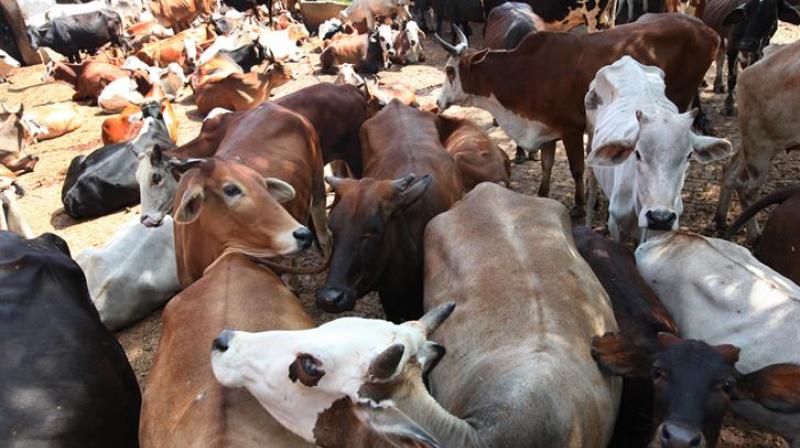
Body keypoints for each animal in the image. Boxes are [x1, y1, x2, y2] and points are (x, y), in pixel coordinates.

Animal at [435, 14, 720, 218]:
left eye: (450, 70)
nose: (438, 102)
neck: (525, 72)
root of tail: (708, 30)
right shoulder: (545, 127)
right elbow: (547, 164)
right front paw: (542, 193)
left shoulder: (570, 129)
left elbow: (576, 168)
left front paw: (580, 205)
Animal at [584, 56, 732, 243]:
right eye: (637, 154)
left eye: (689, 155)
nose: (660, 217)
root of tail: (627, 60)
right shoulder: (616, 225)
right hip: (590, 142)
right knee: (591, 192)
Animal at [714, 40, 800, 236]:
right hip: (760, 147)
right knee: (747, 189)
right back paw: (754, 236)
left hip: (750, 141)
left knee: (730, 168)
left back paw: (720, 219)